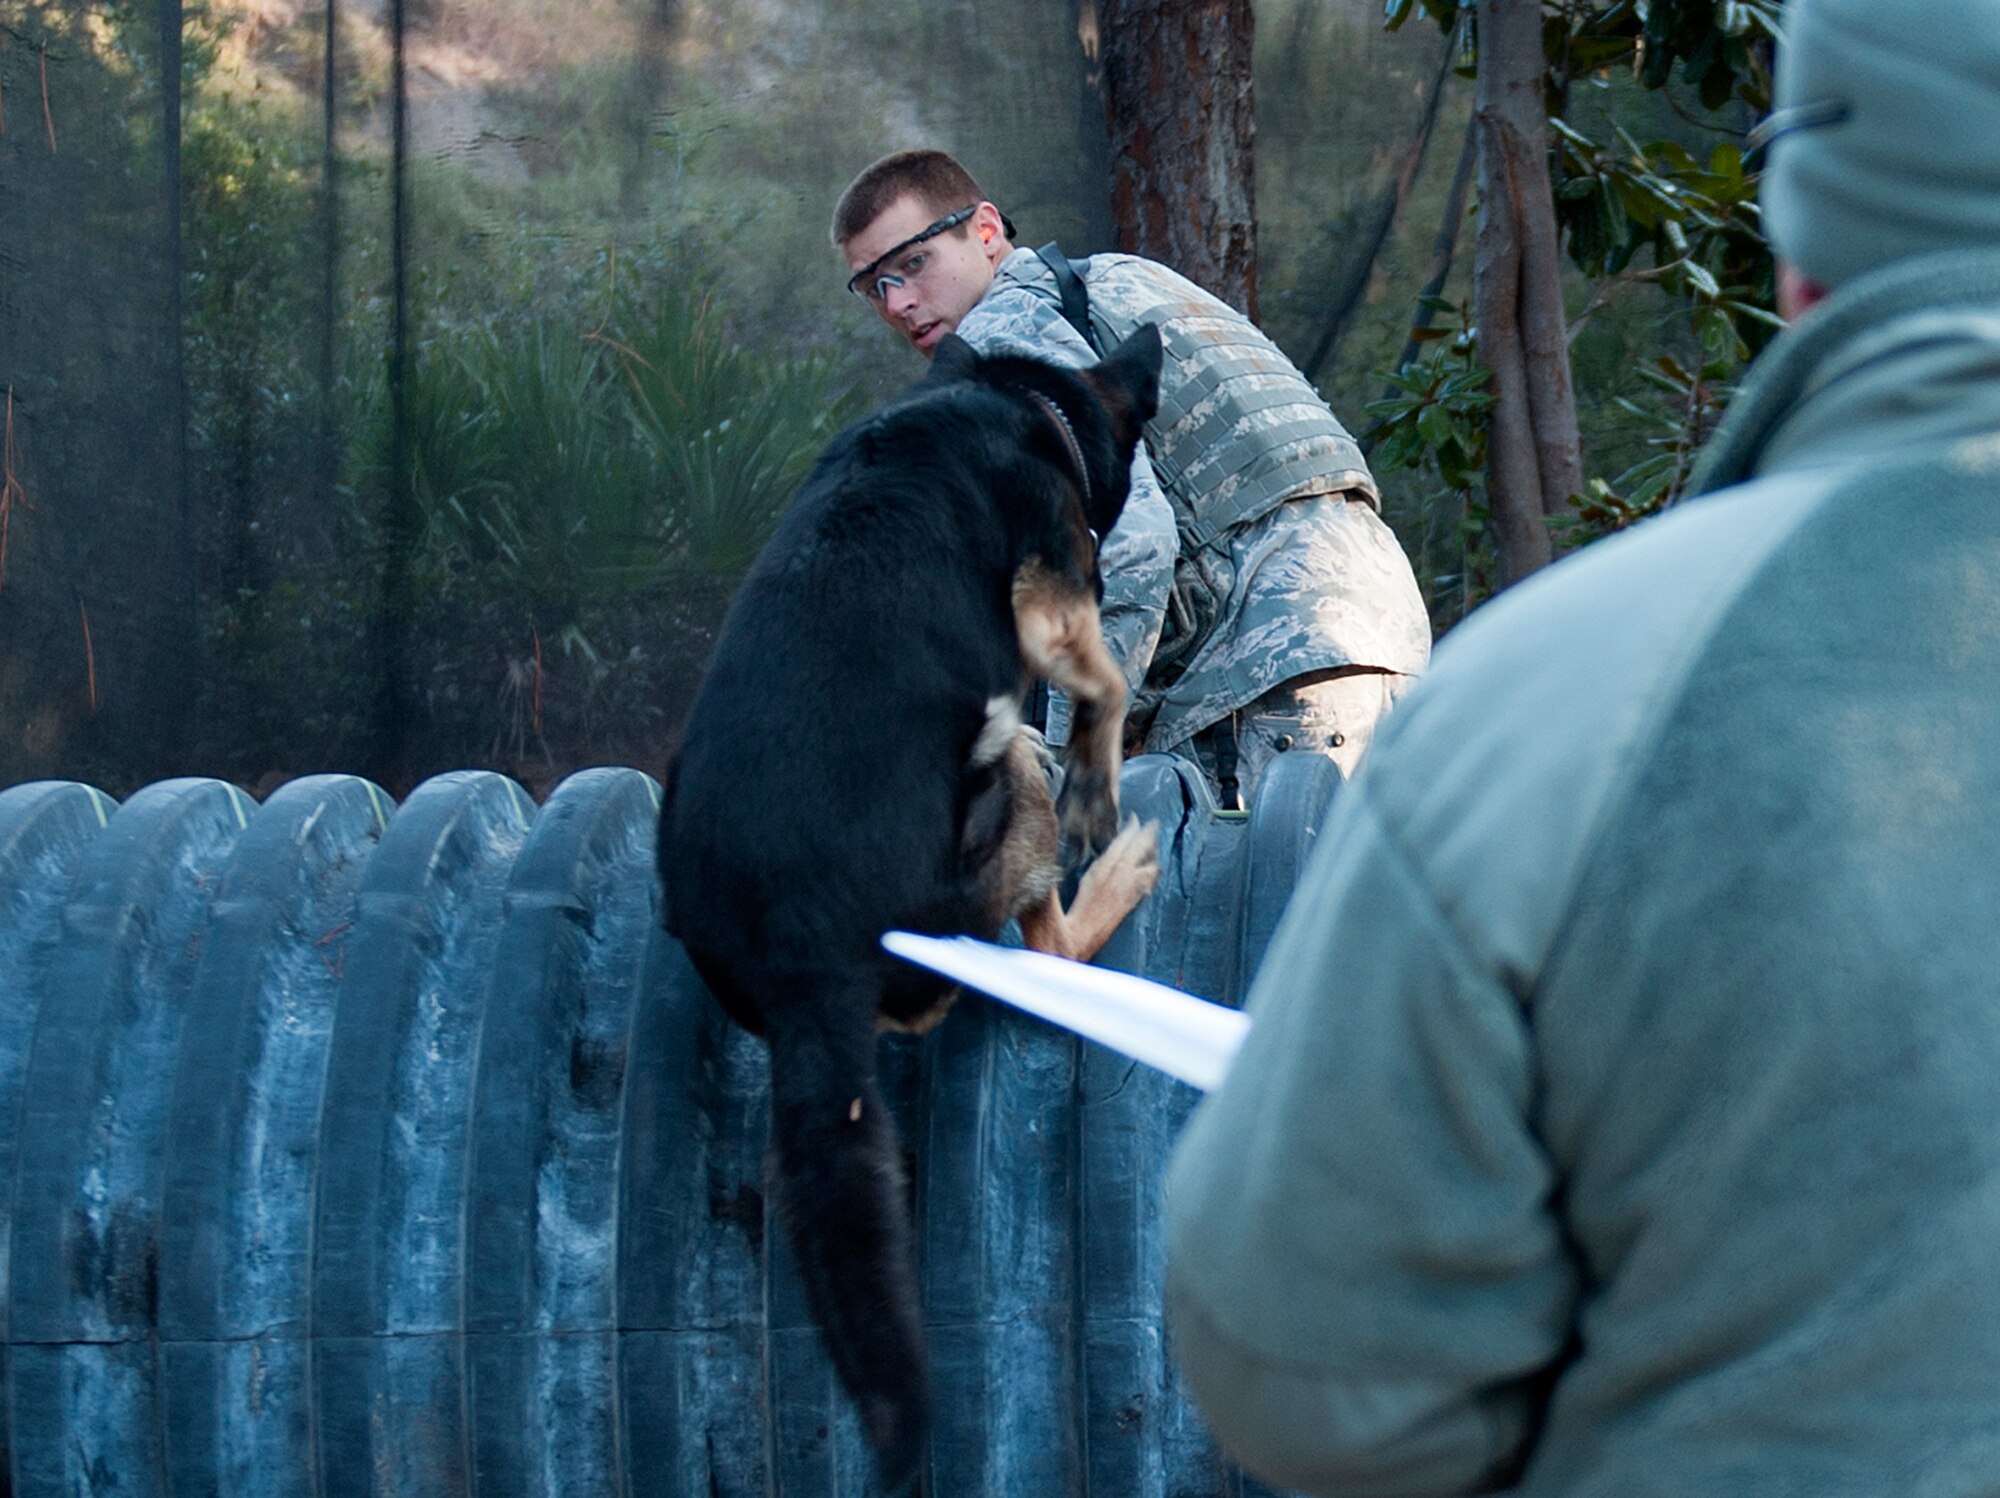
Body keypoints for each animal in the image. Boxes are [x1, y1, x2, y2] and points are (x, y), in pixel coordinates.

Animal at [656, 324, 1168, 1488]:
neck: (1017, 398)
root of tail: (806, 959)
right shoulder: (1051, 591)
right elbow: (1107, 682)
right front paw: (1102, 788)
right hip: (1004, 759)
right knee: (1052, 948)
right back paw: (1116, 871)